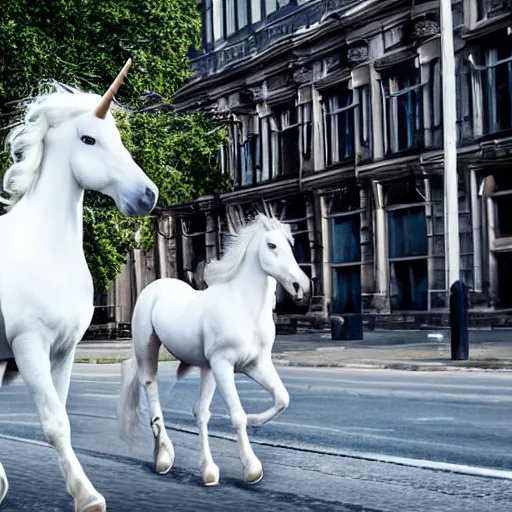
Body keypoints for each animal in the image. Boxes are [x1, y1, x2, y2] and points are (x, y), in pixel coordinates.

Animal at [0, 59, 158, 508]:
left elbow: (63, 417)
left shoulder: (64, 350)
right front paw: (86, 496)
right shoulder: (29, 346)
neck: (44, 245)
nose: (147, 195)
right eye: (89, 138)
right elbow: (55, 423)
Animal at [118, 214, 310, 486]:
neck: (244, 306)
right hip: (149, 351)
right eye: (272, 245)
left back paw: (208, 471)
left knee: (200, 411)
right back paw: (163, 458)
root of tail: (153, 287)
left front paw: (254, 421)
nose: (300, 285)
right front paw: (252, 469)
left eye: (290, 245)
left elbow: (282, 398)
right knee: (151, 391)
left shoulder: (255, 363)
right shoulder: (224, 364)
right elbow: (237, 414)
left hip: (206, 368)